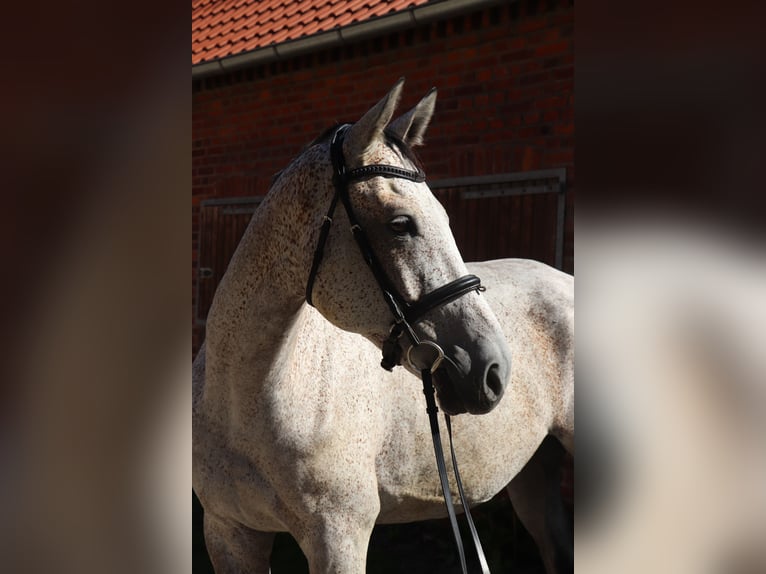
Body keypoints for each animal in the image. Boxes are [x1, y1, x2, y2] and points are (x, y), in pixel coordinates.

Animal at [193, 79, 574, 574]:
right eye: (400, 224)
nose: (494, 369)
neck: (247, 400)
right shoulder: (229, 534)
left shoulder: (339, 538)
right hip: (535, 477)